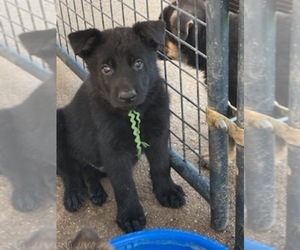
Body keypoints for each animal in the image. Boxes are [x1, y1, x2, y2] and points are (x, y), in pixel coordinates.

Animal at [56, 20, 185, 233]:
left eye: (138, 63)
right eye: (106, 69)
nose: (127, 97)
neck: (134, 112)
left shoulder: (158, 134)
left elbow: (161, 165)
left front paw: (167, 191)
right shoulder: (114, 150)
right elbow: (124, 185)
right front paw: (131, 215)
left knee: (87, 169)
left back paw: (95, 190)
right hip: (58, 124)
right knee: (69, 168)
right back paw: (74, 193)